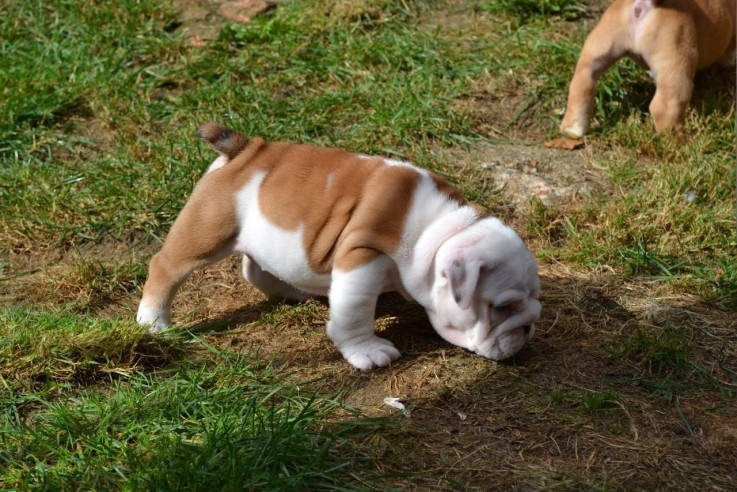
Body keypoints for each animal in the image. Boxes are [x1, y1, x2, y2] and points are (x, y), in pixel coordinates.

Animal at [137, 123, 540, 368]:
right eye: (502, 307)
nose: (529, 327)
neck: (437, 228)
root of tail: (245, 148)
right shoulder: (362, 257)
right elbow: (355, 311)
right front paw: (368, 351)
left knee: (255, 269)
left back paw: (295, 291)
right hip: (207, 230)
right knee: (165, 266)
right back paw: (153, 322)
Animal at [560, 0, 732, 137]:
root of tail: (644, 4)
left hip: (596, 50)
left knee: (582, 83)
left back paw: (572, 129)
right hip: (676, 58)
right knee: (666, 105)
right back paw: (677, 141)